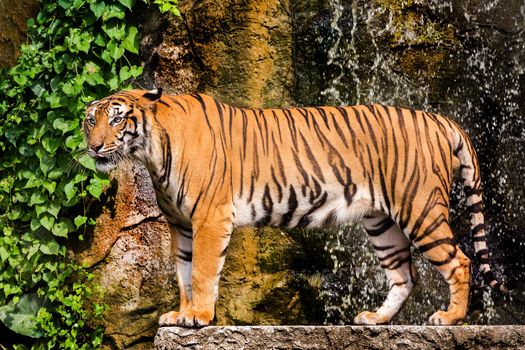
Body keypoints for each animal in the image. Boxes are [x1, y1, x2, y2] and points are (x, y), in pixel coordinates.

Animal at [84, 87, 506, 328]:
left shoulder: (208, 218)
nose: (93, 146)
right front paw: (180, 314)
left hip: (419, 208)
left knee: (459, 261)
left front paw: (198, 317)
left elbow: (202, 272)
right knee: (404, 276)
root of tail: (437, 118)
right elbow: (184, 273)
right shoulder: (181, 224)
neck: (152, 151)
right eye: (90, 120)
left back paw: (450, 318)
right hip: (382, 222)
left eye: (117, 119)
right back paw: (375, 318)